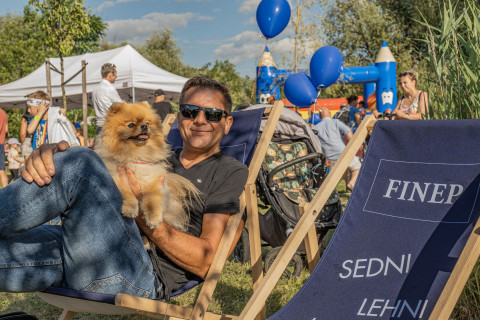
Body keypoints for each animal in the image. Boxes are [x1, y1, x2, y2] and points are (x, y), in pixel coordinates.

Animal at [96, 101, 198, 231]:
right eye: (131, 125)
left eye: (147, 123)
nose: (144, 126)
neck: (136, 154)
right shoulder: (116, 177)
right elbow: (128, 193)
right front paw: (130, 209)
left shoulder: (152, 181)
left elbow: (152, 201)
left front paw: (153, 218)